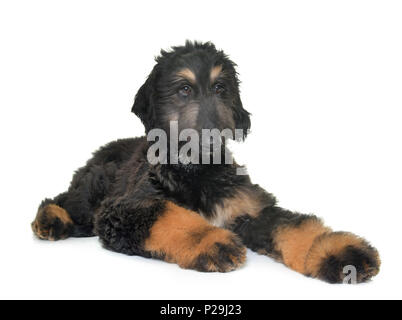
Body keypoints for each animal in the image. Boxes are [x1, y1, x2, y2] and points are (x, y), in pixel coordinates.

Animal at [31, 41, 380, 284]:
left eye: (220, 88)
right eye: (184, 89)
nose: (213, 135)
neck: (198, 171)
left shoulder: (249, 208)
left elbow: (291, 224)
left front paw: (338, 251)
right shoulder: (124, 209)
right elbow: (168, 215)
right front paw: (210, 241)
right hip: (96, 185)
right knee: (63, 200)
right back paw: (50, 220)